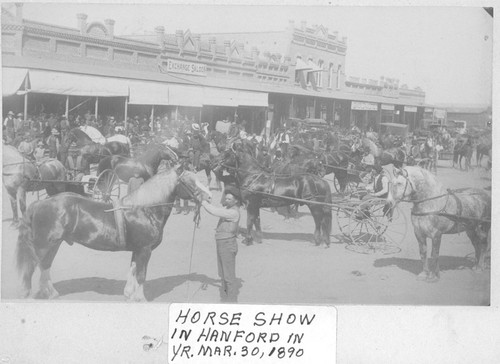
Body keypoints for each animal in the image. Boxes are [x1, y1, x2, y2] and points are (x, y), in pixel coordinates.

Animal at [16, 169, 212, 300]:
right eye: (190, 181)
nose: (209, 197)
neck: (144, 209)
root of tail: (40, 204)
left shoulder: (137, 250)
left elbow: (133, 269)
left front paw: (129, 294)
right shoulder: (145, 249)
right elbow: (141, 274)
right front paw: (140, 298)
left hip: (54, 244)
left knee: (45, 266)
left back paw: (51, 293)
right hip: (44, 244)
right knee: (32, 267)